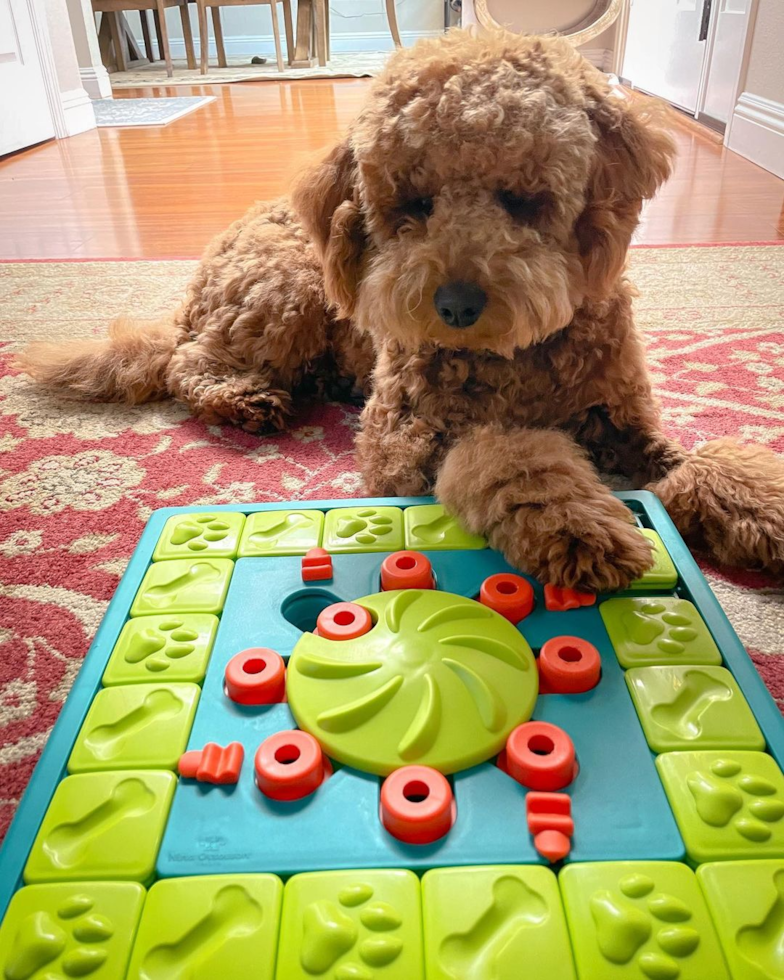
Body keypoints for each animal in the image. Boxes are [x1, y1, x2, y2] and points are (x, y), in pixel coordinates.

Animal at [16, 32, 784, 588]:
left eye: (523, 198)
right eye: (414, 203)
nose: (455, 304)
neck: (519, 357)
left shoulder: (625, 419)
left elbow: (703, 461)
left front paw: (764, 510)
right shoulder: (402, 441)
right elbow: (503, 454)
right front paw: (577, 522)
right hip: (287, 294)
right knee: (189, 362)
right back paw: (245, 399)